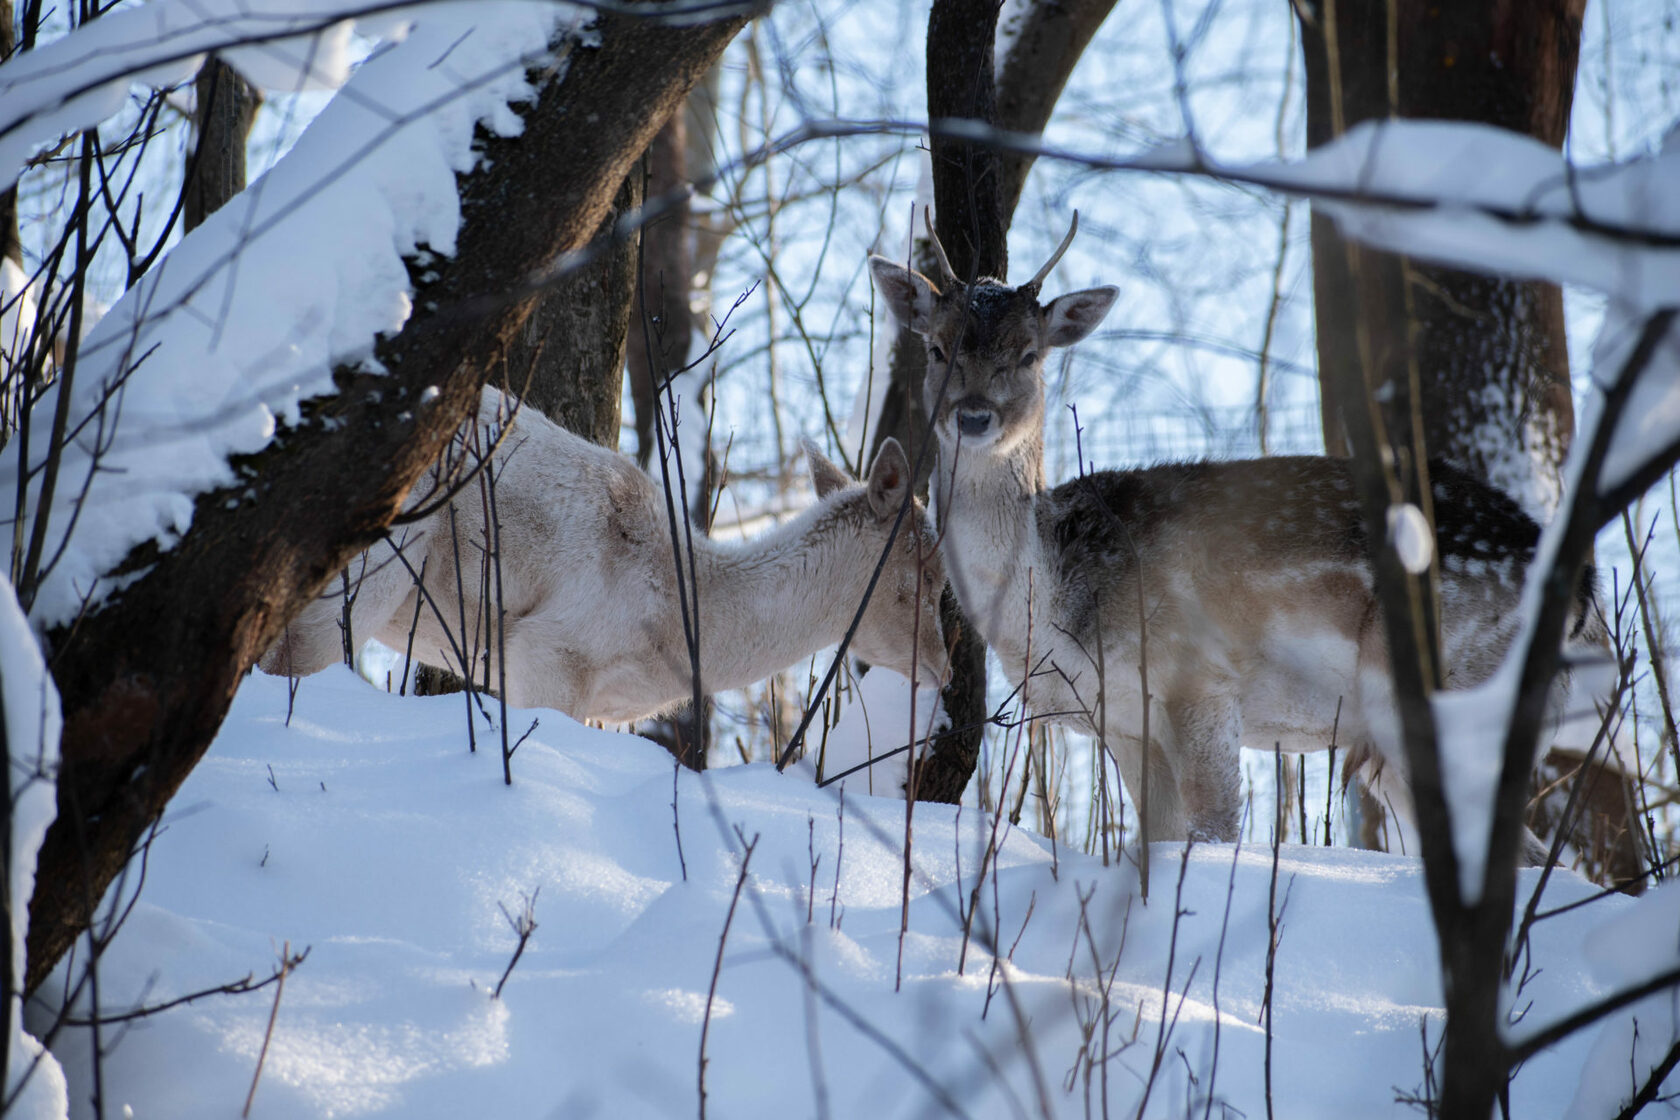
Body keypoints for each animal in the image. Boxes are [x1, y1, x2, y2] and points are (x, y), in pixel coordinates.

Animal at [866, 214, 1612, 853]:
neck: (1049, 607)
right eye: (936, 346)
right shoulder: (1121, 717)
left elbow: (1216, 830)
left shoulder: (1201, 678)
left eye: (1028, 354)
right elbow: (1160, 836)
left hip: (1458, 686)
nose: (973, 416)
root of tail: (1585, 593)